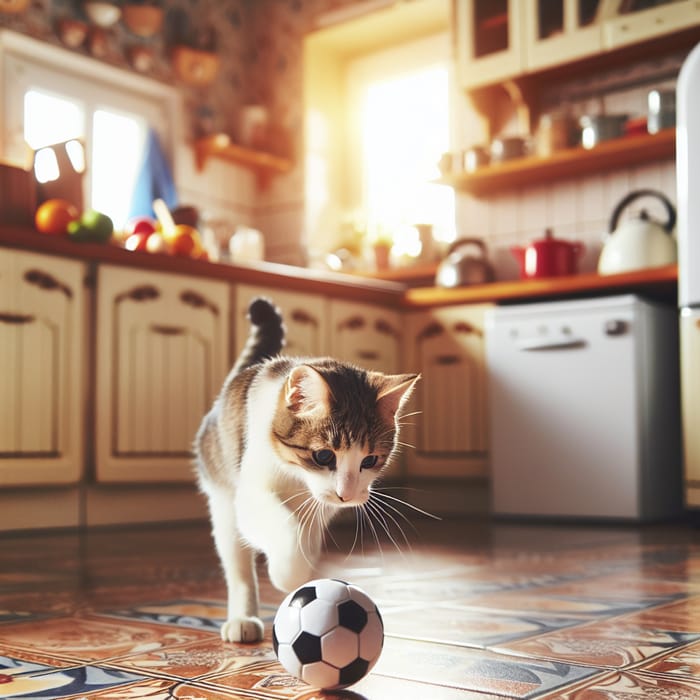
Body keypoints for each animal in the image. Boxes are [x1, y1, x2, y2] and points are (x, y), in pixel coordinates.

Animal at [194, 298, 418, 644]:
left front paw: (306, 570)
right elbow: (285, 529)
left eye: (369, 460)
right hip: (223, 498)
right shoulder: (252, 493)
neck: (297, 480)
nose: (346, 495)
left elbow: (308, 538)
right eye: (324, 455)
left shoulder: (320, 508)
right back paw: (242, 619)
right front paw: (288, 574)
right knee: (238, 565)